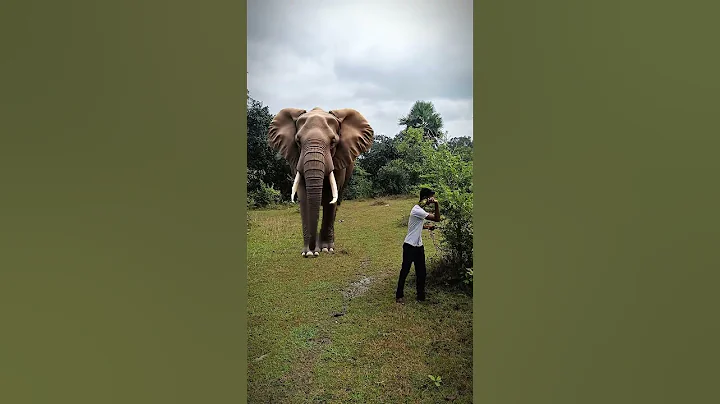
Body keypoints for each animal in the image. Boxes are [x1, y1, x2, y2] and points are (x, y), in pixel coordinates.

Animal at [268, 107, 374, 257]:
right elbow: (304, 196)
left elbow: (330, 196)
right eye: (298, 141)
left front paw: (325, 249)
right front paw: (308, 253)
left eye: (333, 142)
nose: (314, 251)